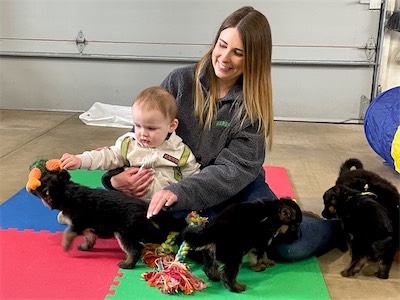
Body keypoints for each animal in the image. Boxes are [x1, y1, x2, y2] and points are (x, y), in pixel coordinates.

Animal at [32, 169, 179, 270]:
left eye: (40, 187)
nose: (32, 187)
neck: (67, 192)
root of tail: (145, 208)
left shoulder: (77, 223)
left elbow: (67, 233)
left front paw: (66, 245)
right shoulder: (88, 227)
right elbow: (89, 237)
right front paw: (86, 246)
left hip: (123, 233)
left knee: (135, 249)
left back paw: (128, 263)